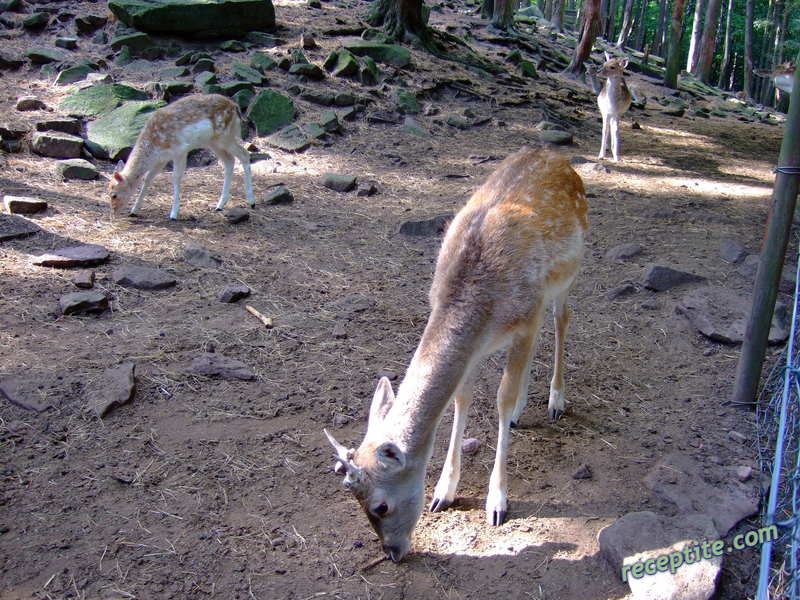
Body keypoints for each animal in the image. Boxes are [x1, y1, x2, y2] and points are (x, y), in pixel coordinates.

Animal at [109, 95, 253, 221]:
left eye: (114, 195)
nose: (114, 213)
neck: (154, 145)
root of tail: (235, 106)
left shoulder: (180, 150)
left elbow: (175, 177)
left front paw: (173, 214)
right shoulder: (162, 159)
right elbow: (148, 178)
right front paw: (134, 210)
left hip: (224, 137)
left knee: (244, 154)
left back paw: (251, 201)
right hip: (213, 142)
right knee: (230, 160)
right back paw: (220, 205)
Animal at [324, 146, 588, 564]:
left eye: (381, 506)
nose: (393, 553)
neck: (482, 301)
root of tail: (554, 155)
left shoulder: (524, 318)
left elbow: (500, 399)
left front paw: (496, 501)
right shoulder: (480, 344)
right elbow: (463, 398)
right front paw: (443, 492)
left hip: (570, 273)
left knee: (562, 319)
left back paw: (556, 401)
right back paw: (524, 408)